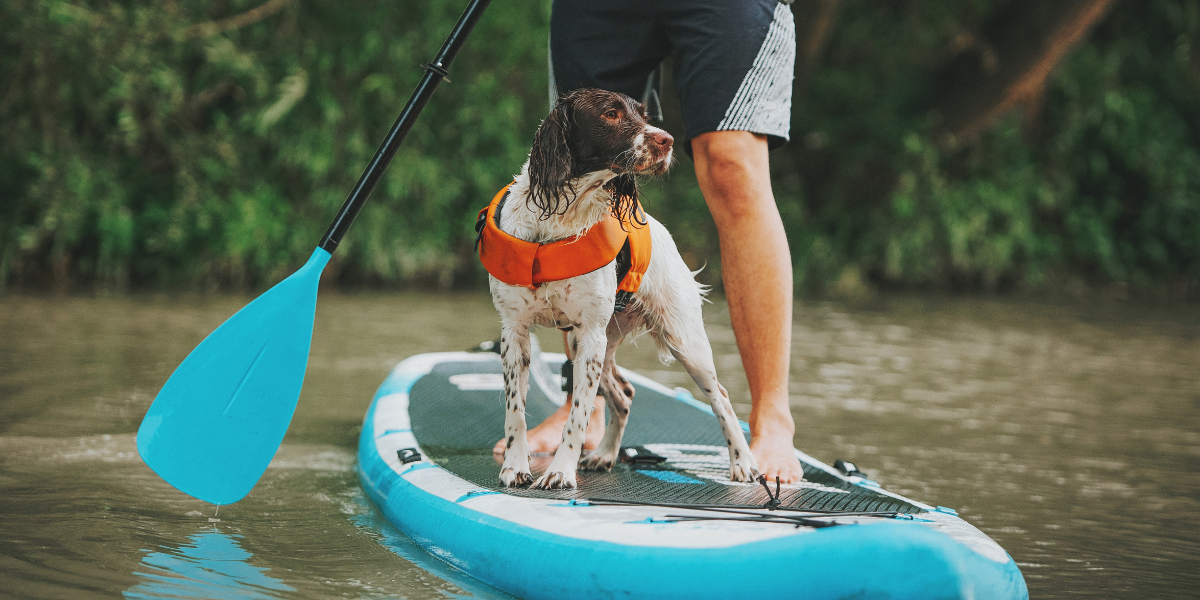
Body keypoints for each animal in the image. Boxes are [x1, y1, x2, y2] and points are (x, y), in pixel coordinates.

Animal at [480, 90, 753, 492]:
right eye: (610, 114)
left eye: (644, 115)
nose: (667, 140)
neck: (561, 218)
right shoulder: (515, 330)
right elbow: (515, 410)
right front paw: (515, 468)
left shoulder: (590, 332)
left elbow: (578, 414)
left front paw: (560, 472)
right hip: (592, 343)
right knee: (623, 396)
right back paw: (606, 454)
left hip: (682, 341)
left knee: (721, 397)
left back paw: (744, 463)